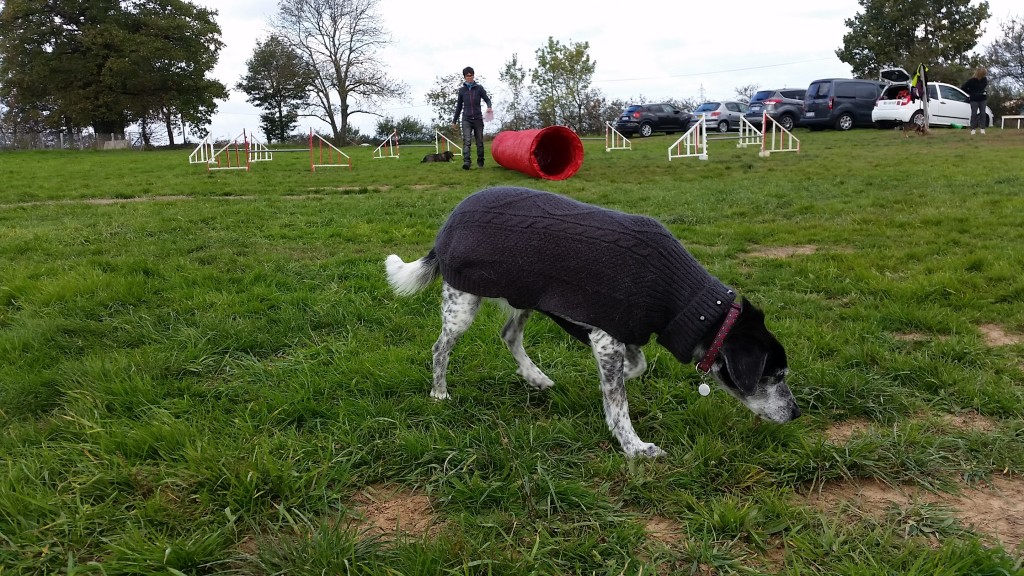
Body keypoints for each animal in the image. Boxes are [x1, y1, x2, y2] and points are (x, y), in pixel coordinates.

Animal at [385, 186, 798, 455]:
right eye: (773, 376)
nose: (796, 413)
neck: (683, 299)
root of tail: (450, 220)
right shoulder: (607, 336)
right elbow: (619, 404)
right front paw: (634, 446)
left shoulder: (616, 333)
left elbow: (634, 368)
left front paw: (615, 380)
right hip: (463, 303)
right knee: (440, 349)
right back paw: (439, 393)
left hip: (525, 296)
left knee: (508, 334)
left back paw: (535, 377)